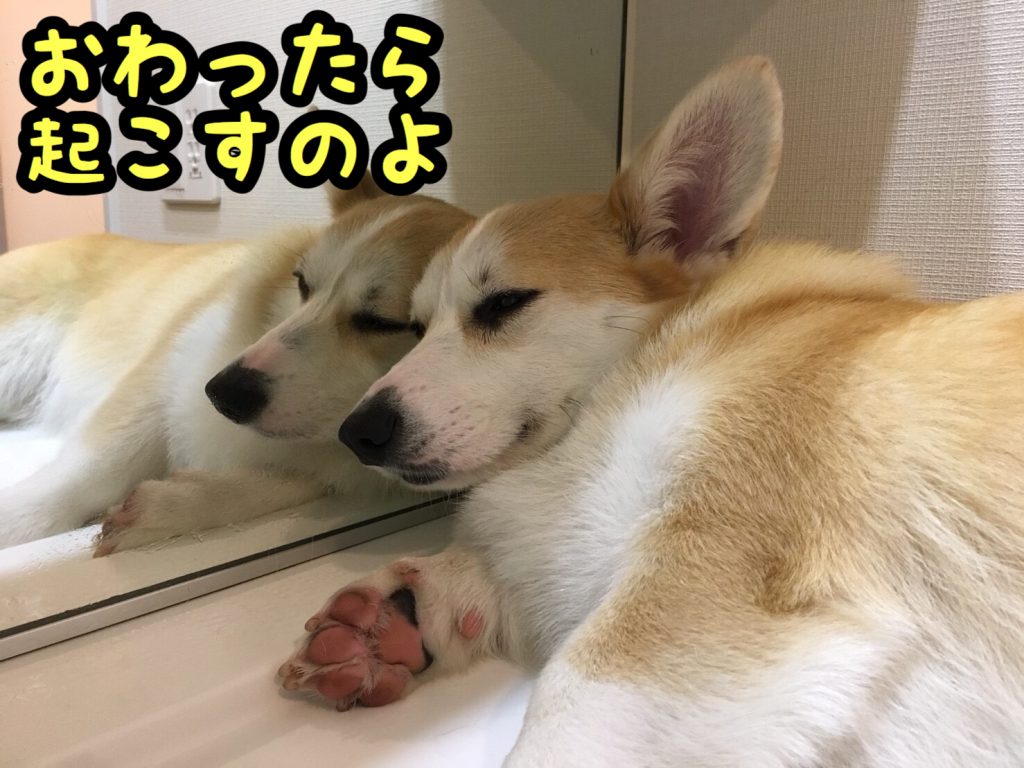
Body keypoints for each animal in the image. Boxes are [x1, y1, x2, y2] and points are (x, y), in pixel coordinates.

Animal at [0, 178, 472, 554]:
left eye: (381, 322)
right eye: (303, 284)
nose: (221, 393)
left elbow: (277, 483)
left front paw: (169, 506)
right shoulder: (159, 375)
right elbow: (90, 471)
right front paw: (17, 521)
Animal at [278, 57, 1024, 766]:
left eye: (503, 304)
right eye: (415, 325)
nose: (359, 433)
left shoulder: (706, 576)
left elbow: (568, 702)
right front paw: (392, 619)